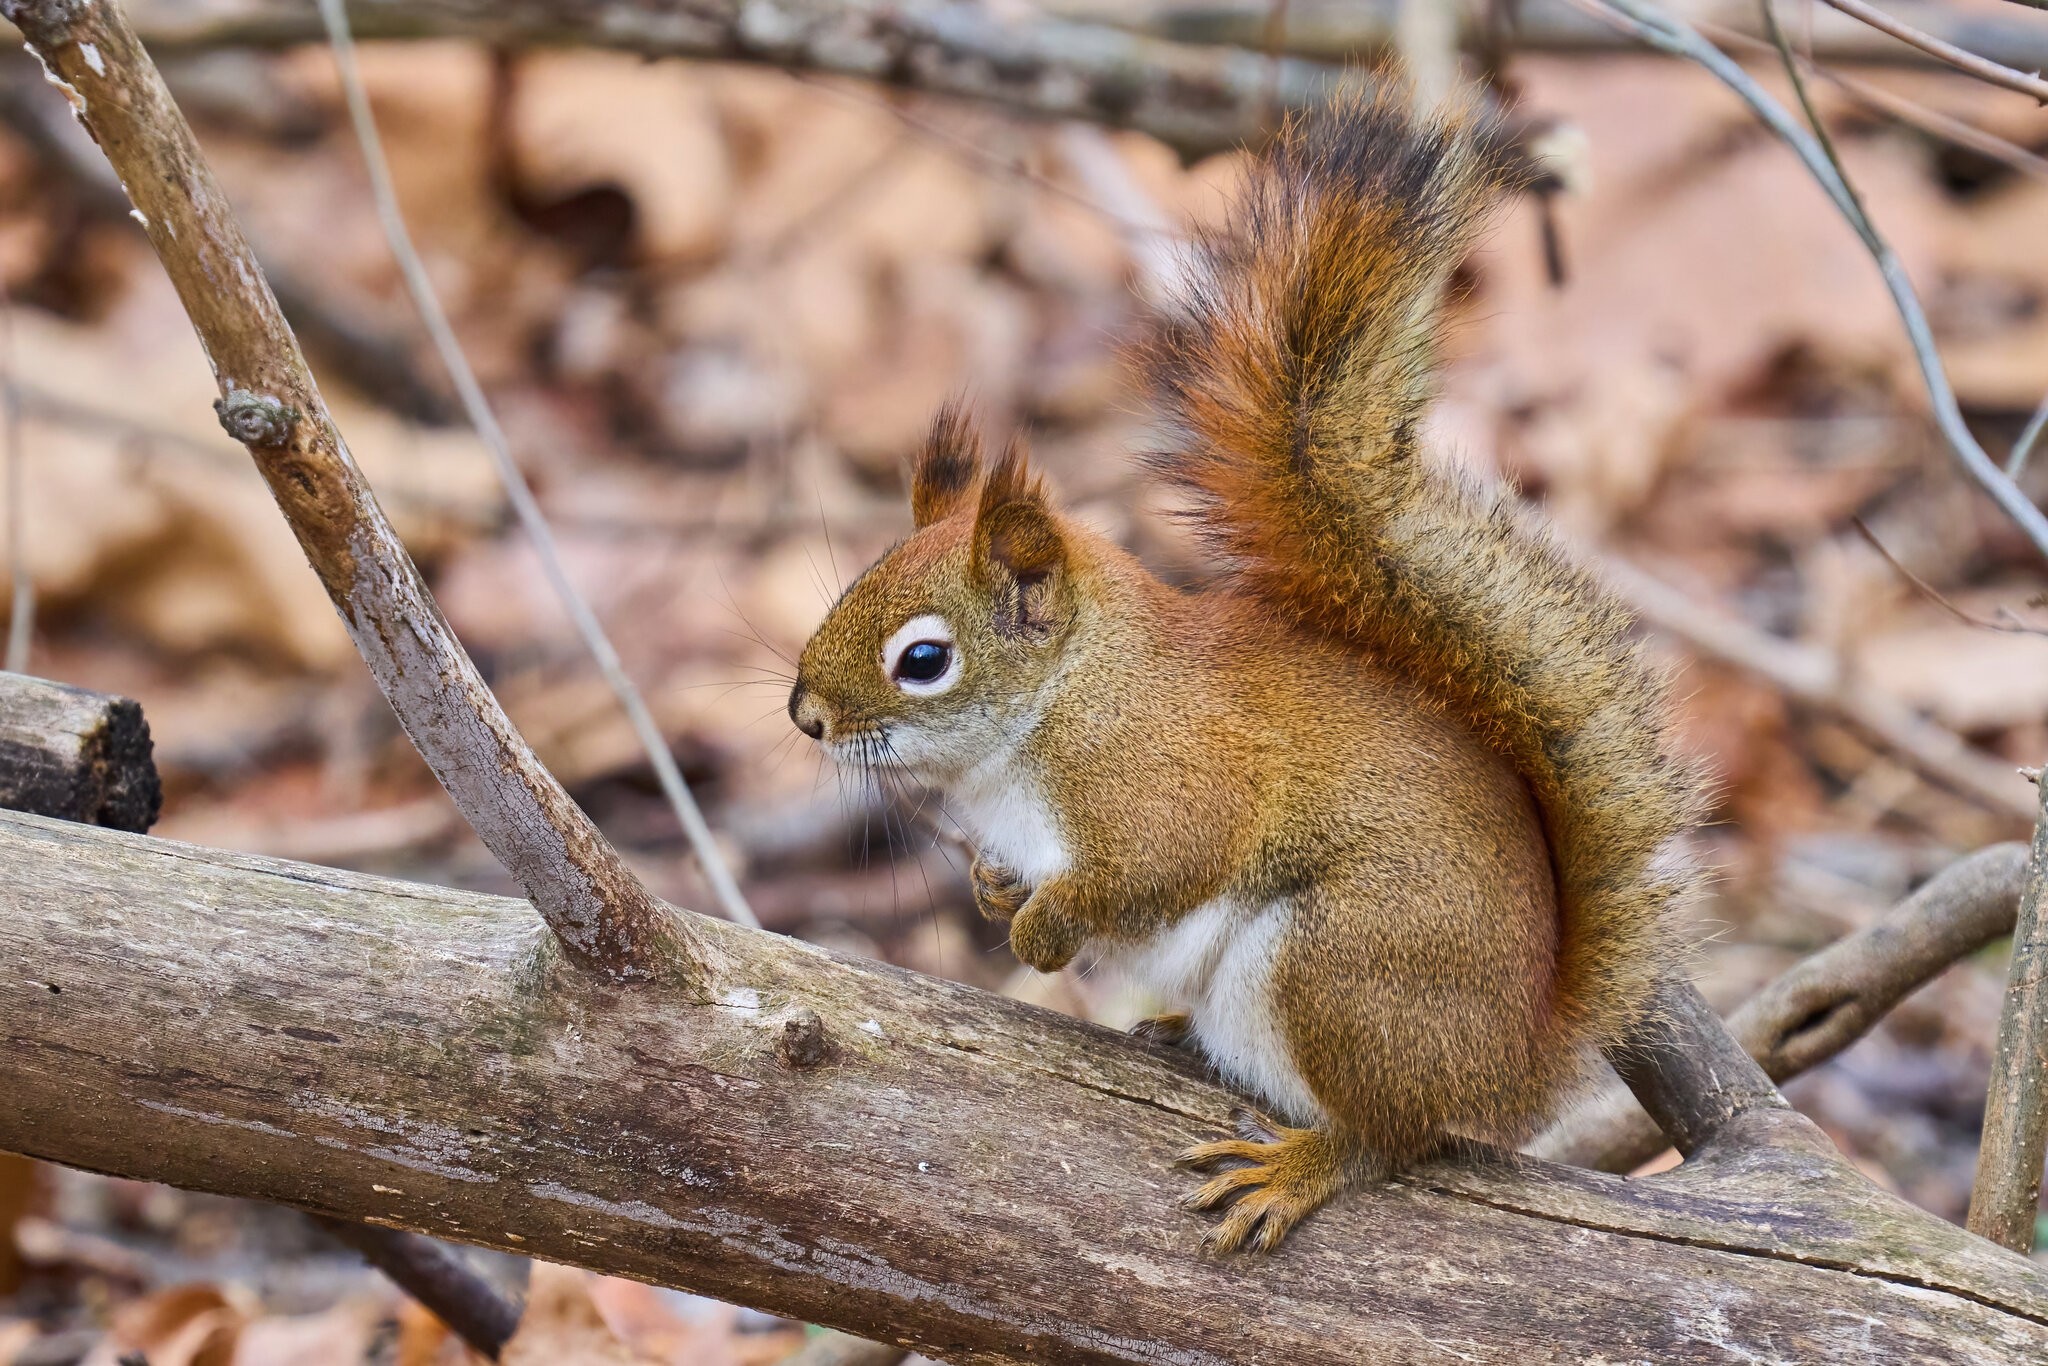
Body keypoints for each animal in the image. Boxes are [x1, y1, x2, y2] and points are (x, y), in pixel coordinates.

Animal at [786, 90, 1712, 1253]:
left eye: (922, 659)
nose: (804, 715)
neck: (1063, 702)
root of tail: (1514, 1062)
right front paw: (998, 889)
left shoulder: (1166, 773)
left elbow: (1161, 860)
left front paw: (1044, 926)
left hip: (1339, 968)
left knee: (1392, 1141)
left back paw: (1297, 1166)